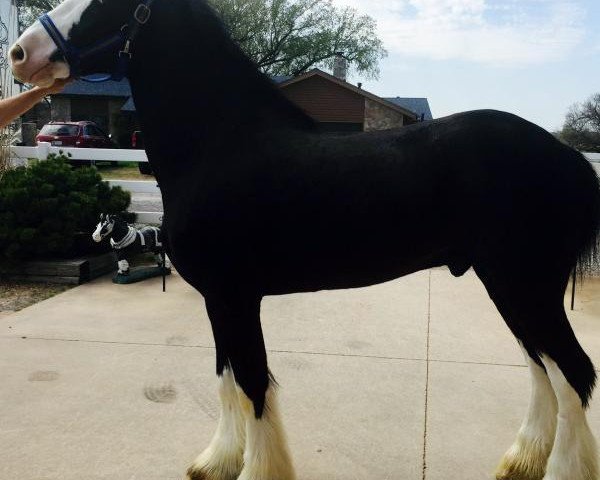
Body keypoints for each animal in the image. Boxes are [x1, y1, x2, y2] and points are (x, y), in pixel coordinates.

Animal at [10, 0, 600, 480]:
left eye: (104, 0)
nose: (20, 53)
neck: (221, 146)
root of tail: (570, 159)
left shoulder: (236, 297)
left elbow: (252, 383)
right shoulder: (218, 300)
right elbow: (227, 378)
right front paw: (217, 462)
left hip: (525, 285)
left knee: (572, 372)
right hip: (508, 285)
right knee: (543, 368)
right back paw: (520, 460)